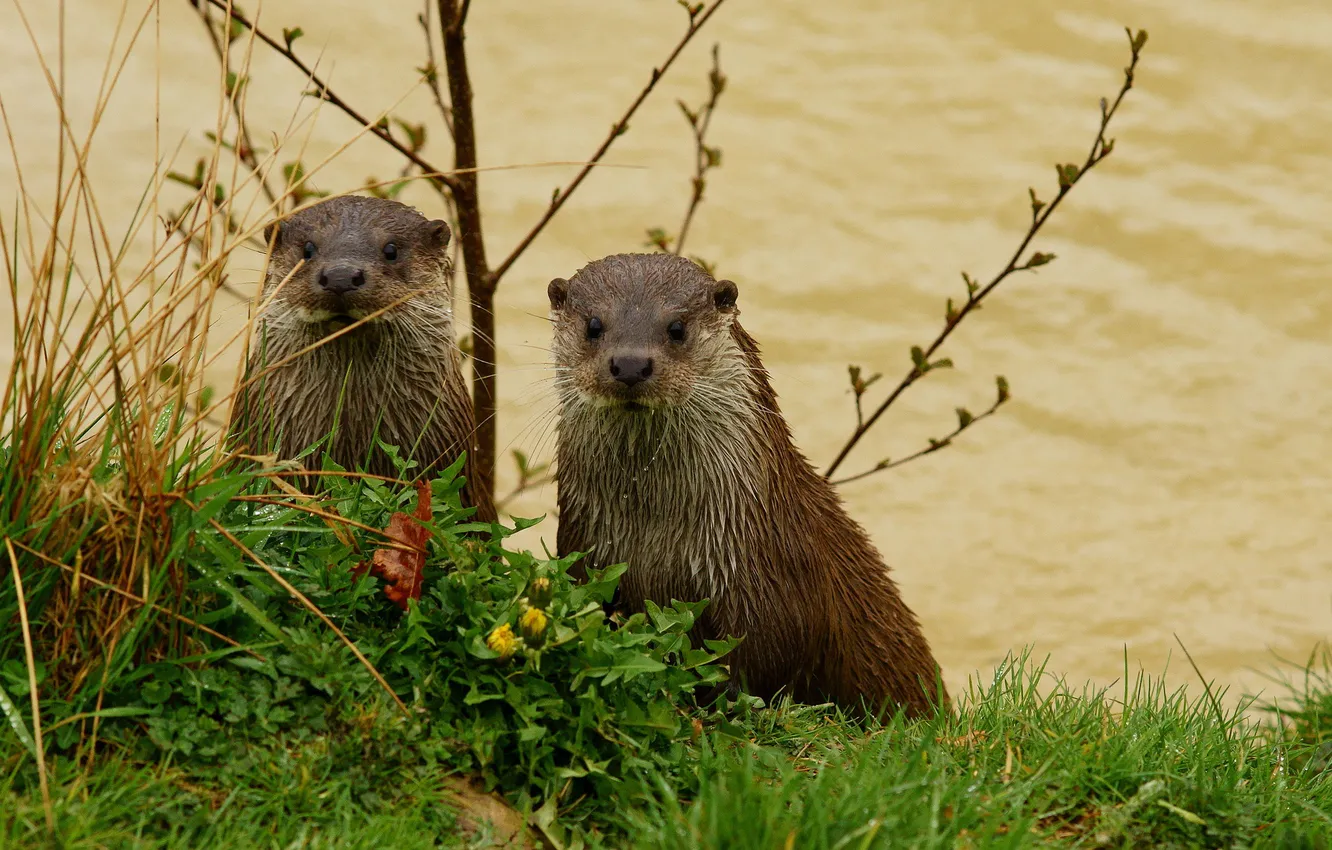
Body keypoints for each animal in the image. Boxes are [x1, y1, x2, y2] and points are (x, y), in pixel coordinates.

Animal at [548, 253, 946, 719]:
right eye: (594, 325)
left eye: (677, 327)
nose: (630, 364)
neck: (656, 537)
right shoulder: (584, 548)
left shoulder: (769, 581)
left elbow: (762, 664)